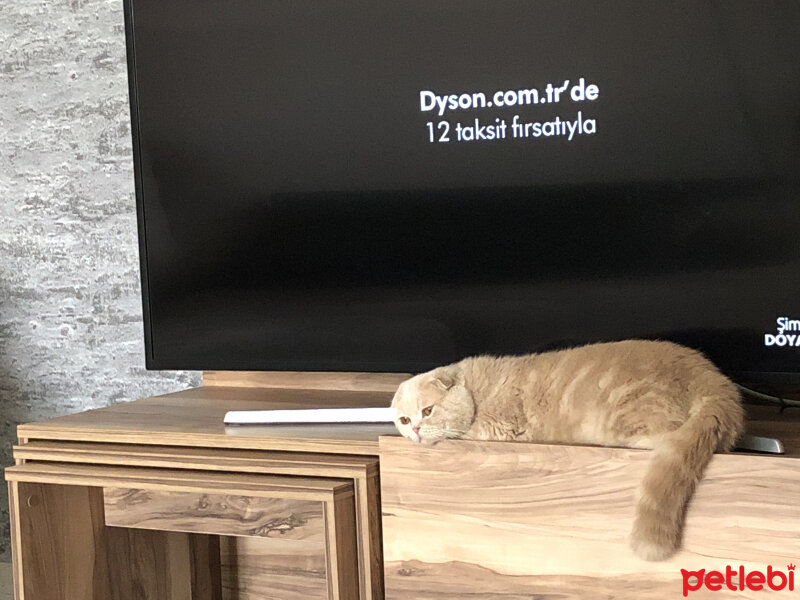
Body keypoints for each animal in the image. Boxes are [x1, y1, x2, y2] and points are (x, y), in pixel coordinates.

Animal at [392, 340, 744, 560]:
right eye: (404, 419)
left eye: (427, 411)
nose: (416, 430)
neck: (476, 392)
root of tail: (711, 377)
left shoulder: (496, 430)